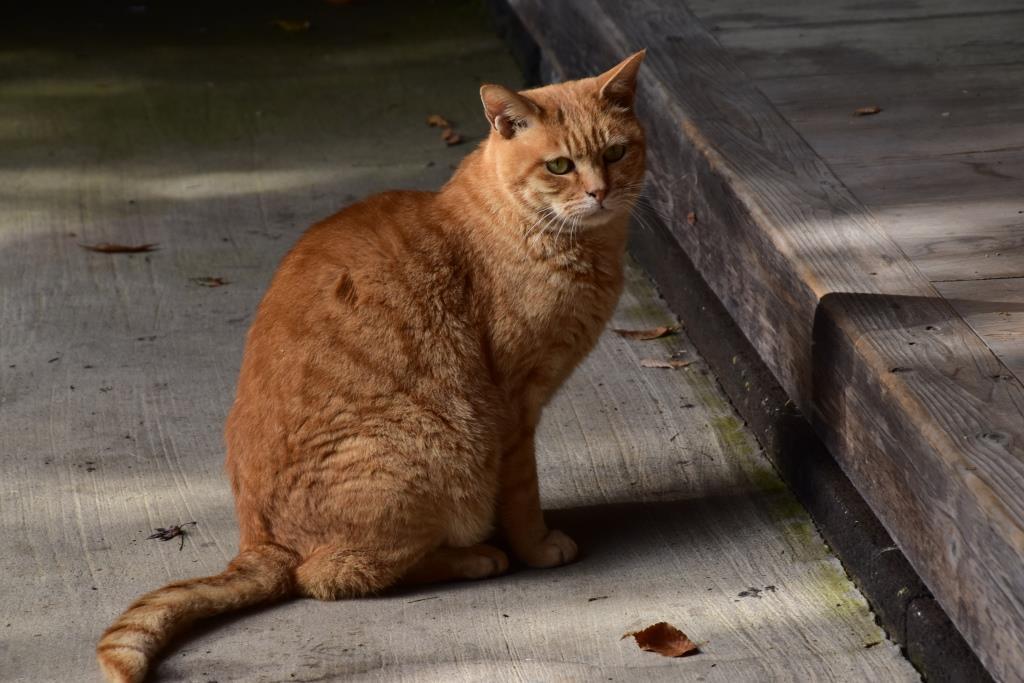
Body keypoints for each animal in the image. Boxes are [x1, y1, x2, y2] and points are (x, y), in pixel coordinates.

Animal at [96, 50, 643, 679]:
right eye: (559, 166)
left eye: (615, 154)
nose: (601, 193)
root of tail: (257, 542)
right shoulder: (512, 408)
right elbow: (523, 495)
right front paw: (537, 545)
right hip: (438, 449)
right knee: (330, 577)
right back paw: (475, 556)